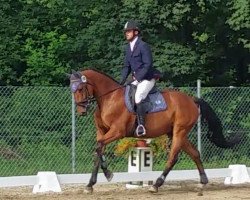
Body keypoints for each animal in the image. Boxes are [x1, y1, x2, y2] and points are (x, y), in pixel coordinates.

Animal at [69, 68, 241, 194]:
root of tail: (191, 99)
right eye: (72, 90)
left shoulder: (117, 132)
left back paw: (156, 184)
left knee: (173, 157)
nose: (81, 111)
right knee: (195, 153)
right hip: (176, 132)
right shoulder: (102, 132)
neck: (108, 99)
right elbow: (99, 151)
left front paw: (100, 178)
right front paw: (95, 181)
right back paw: (202, 183)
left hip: (179, 131)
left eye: (81, 88)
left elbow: (98, 147)